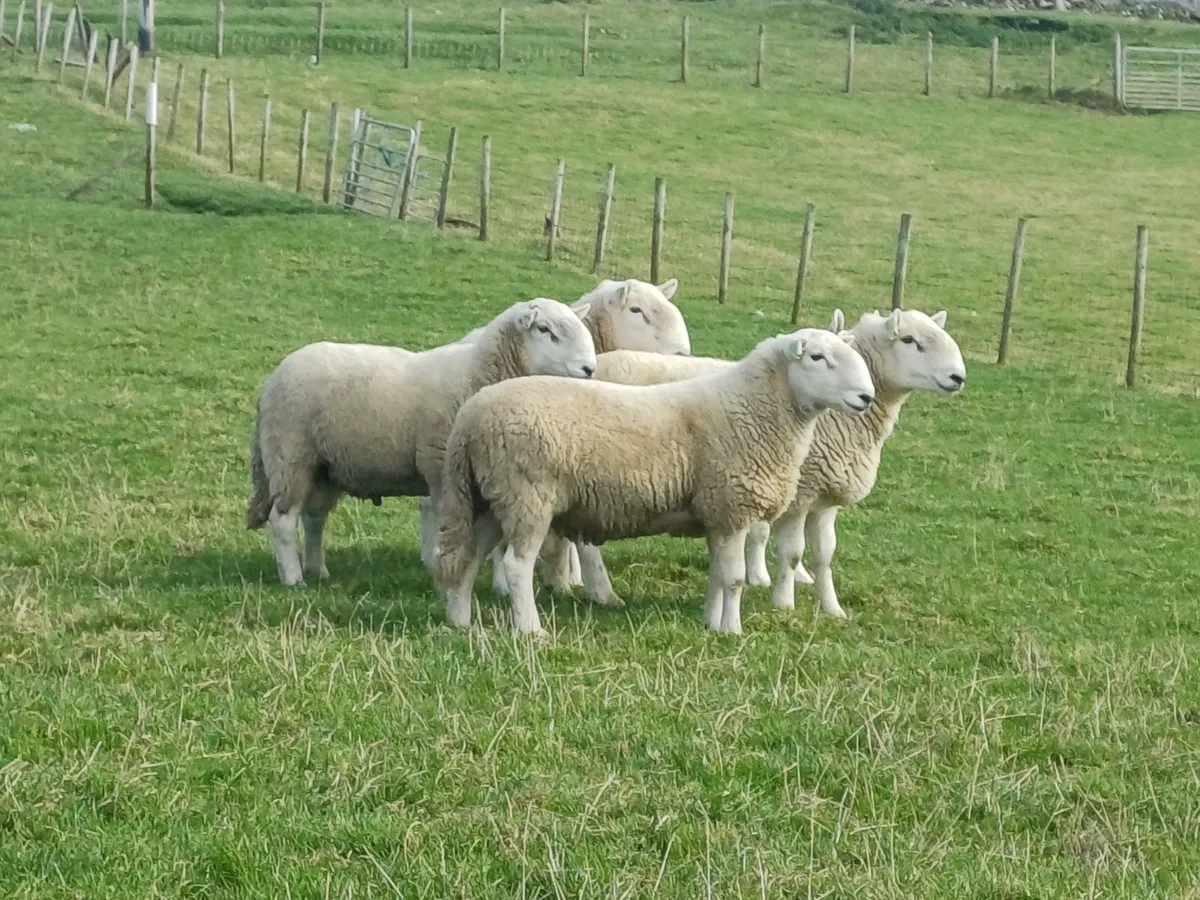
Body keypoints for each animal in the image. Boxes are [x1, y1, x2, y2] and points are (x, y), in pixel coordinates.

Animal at [245, 298, 598, 586]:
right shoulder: (441, 466)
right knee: (283, 520)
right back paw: (293, 579)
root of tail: (271, 382)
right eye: (545, 330)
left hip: (325, 469)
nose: (589, 369)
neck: (477, 373)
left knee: (314, 518)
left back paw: (317, 571)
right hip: (289, 455)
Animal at [431, 323, 876, 637]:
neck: (755, 409)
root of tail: (470, 417)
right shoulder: (732, 506)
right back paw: (530, 629)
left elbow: (718, 575)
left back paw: (460, 619)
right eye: (817, 356)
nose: (866, 397)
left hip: (491, 498)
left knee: (469, 556)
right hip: (528, 495)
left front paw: (711, 624)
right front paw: (732, 630)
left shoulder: (716, 514)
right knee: (517, 565)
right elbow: (733, 578)